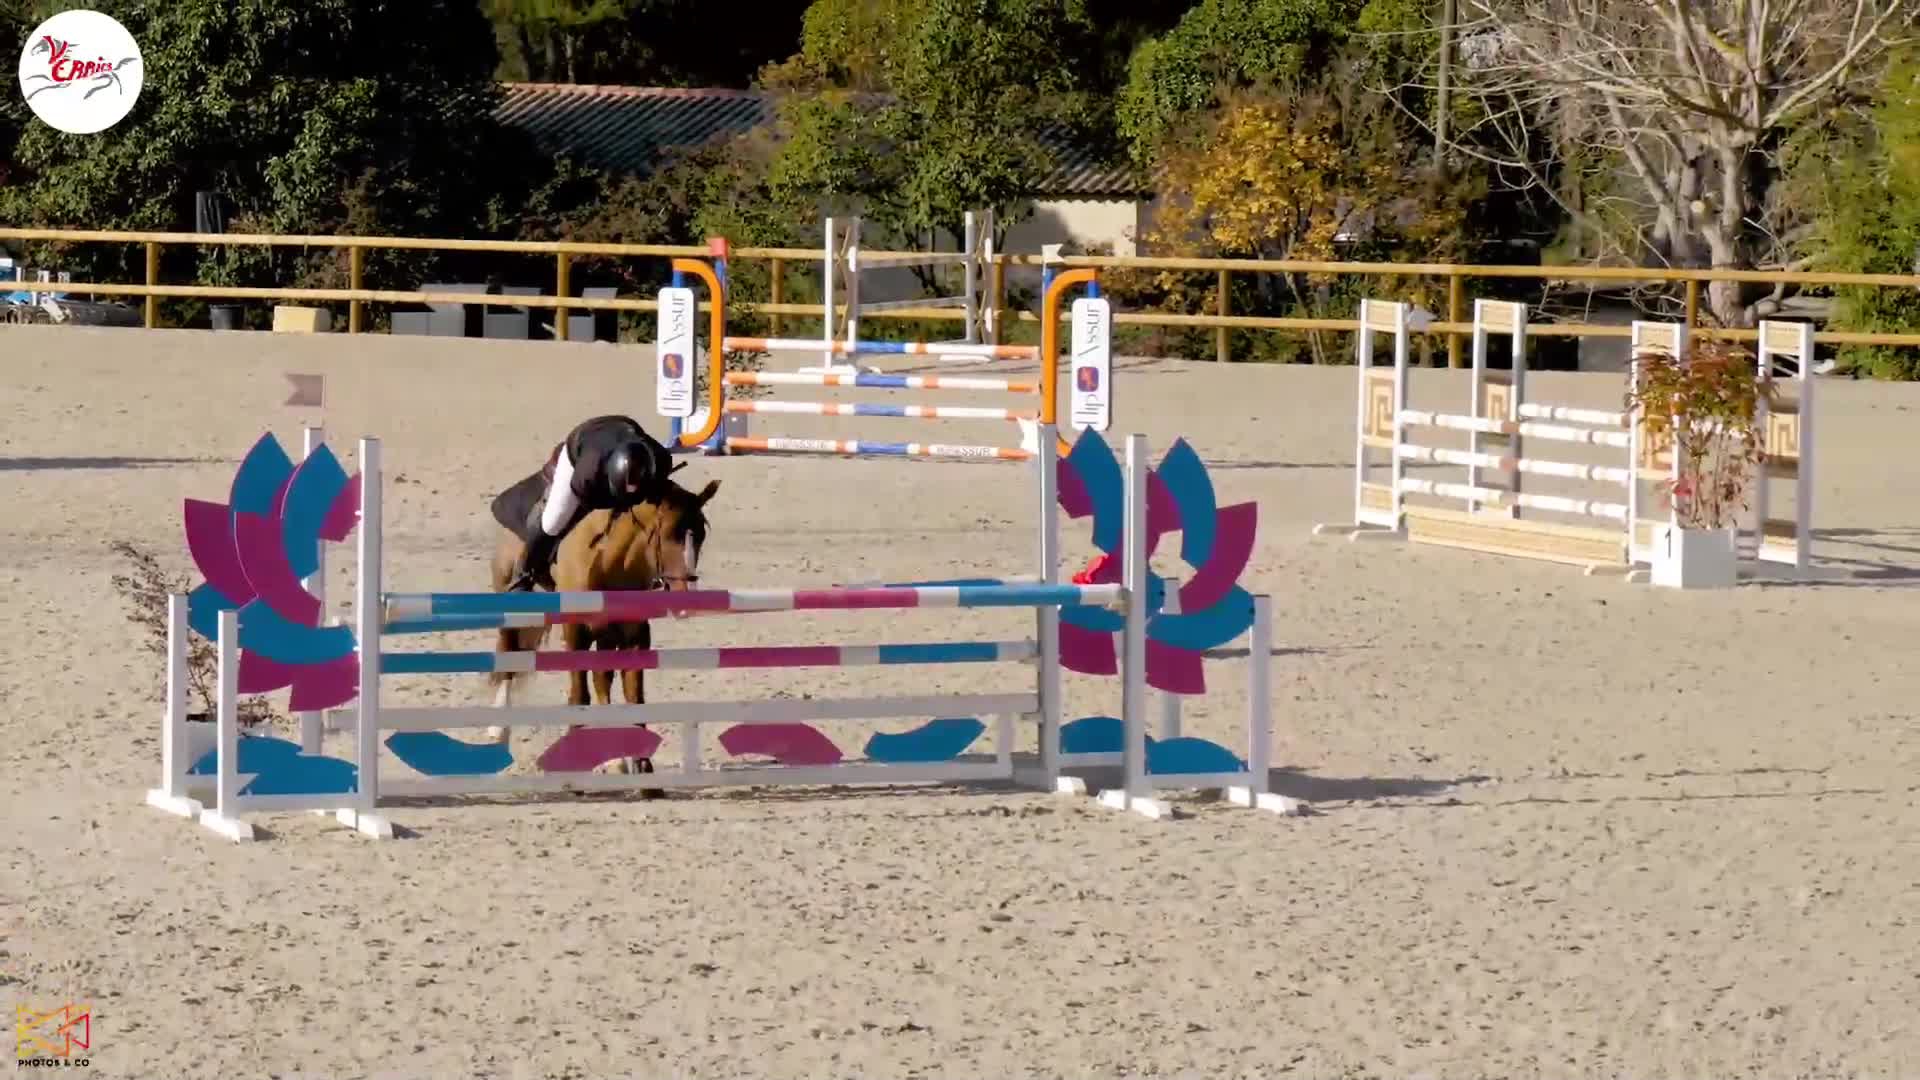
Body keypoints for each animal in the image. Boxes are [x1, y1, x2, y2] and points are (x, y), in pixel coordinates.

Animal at [483, 473, 720, 781]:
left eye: (701, 535)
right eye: (669, 534)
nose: (688, 600)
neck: (611, 557)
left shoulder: (634, 634)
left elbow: (632, 695)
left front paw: (637, 764)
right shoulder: (577, 633)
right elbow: (580, 693)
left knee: (601, 679)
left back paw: (613, 760)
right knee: (510, 658)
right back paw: (497, 733)